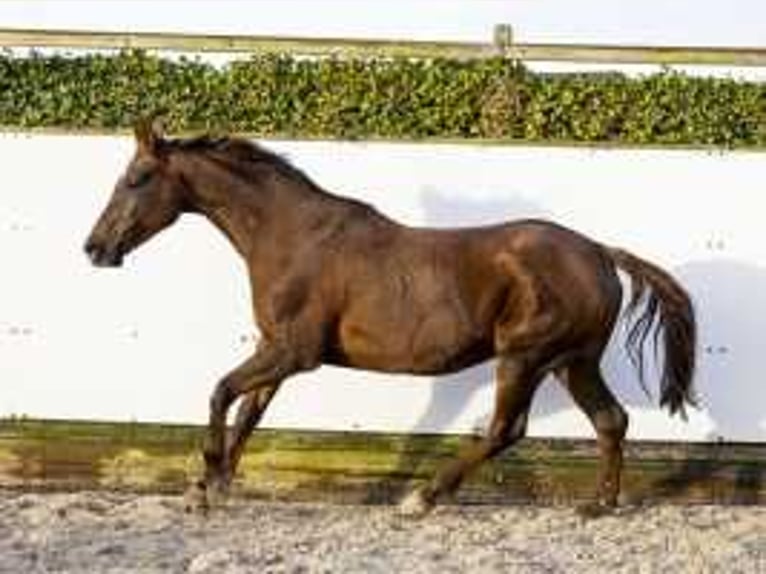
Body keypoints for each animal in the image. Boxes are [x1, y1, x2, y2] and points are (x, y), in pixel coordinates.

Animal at [84, 124, 696, 520]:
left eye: (138, 177)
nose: (95, 248)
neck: (291, 236)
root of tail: (599, 253)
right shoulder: (275, 349)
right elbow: (247, 413)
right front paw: (209, 488)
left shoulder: (295, 353)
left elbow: (220, 392)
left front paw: (207, 482)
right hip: (573, 361)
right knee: (610, 420)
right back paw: (599, 505)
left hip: (525, 355)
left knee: (507, 428)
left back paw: (420, 499)